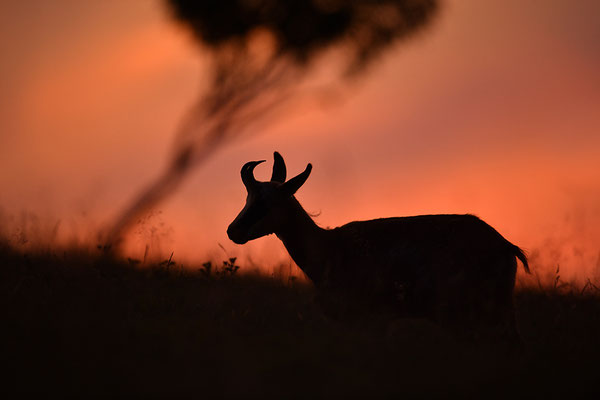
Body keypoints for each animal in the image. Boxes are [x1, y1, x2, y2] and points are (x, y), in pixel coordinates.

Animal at [229, 152, 528, 340]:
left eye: (266, 203)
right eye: (248, 198)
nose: (233, 231)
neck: (332, 246)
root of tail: (504, 245)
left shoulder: (371, 322)